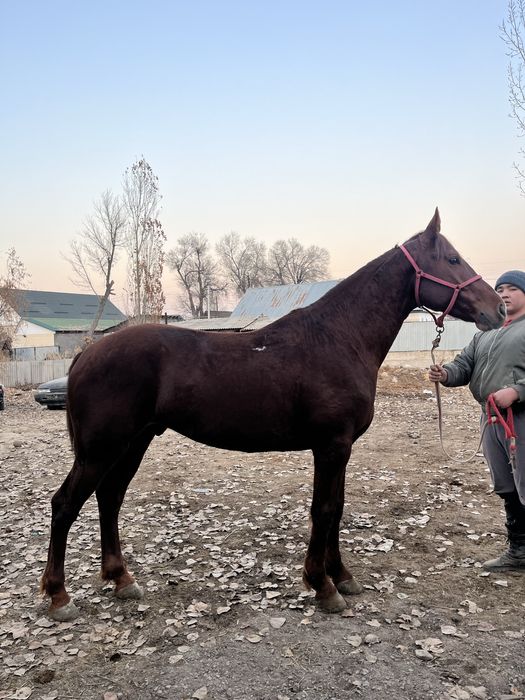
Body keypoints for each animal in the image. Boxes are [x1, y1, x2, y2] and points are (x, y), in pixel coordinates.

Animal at [41, 209, 505, 621]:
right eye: (452, 259)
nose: (497, 308)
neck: (338, 337)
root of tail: (86, 354)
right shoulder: (331, 446)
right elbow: (324, 510)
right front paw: (323, 586)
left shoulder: (340, 449)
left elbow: (337, 507)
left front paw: (341, 575)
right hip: (101, 450)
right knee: (65, 504)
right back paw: (59, 596)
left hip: (133, 444)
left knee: (109, 498)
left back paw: (121, 579)